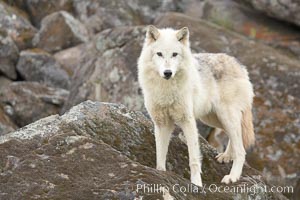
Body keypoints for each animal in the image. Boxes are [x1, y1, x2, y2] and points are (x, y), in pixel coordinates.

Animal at [137, 25, 254, 187]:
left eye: (174, 54)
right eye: (159, 54)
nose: (167, 73)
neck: (166, 89)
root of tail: (239, 65)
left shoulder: (188, 121)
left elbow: (193, 159)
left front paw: (197, 184)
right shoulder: (162, 124)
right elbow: (160, 155)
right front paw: (160, 173)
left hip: (226, 117)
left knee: (241, 150)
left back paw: (232, 176)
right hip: (214, 119)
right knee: (236, 137)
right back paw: (226, 156)